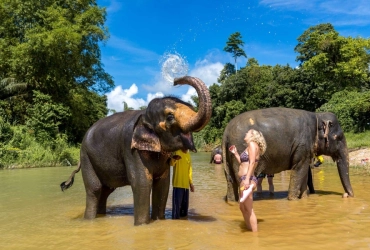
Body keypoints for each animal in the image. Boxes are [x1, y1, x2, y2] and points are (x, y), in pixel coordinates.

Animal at [60, 75, 211, 225]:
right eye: (170, 117)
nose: (175, 81)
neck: (144, 115)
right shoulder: (131, 149)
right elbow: (142, 183)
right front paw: (142, 225)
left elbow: (162, 185)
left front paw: (159, 220)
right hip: (86, 157)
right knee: (95, 189)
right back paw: (89, 220)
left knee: (105, 191)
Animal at [221, 107, 354, 201]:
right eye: (338, 138)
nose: (346, 195)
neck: (317, 116)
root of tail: (225, 132)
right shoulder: (302, 145)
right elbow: (299, 169)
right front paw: (293, 200)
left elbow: (304, 172)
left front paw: (304, 198)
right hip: (241, 148)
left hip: (228, 156)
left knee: (230, 181)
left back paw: (232, 201)